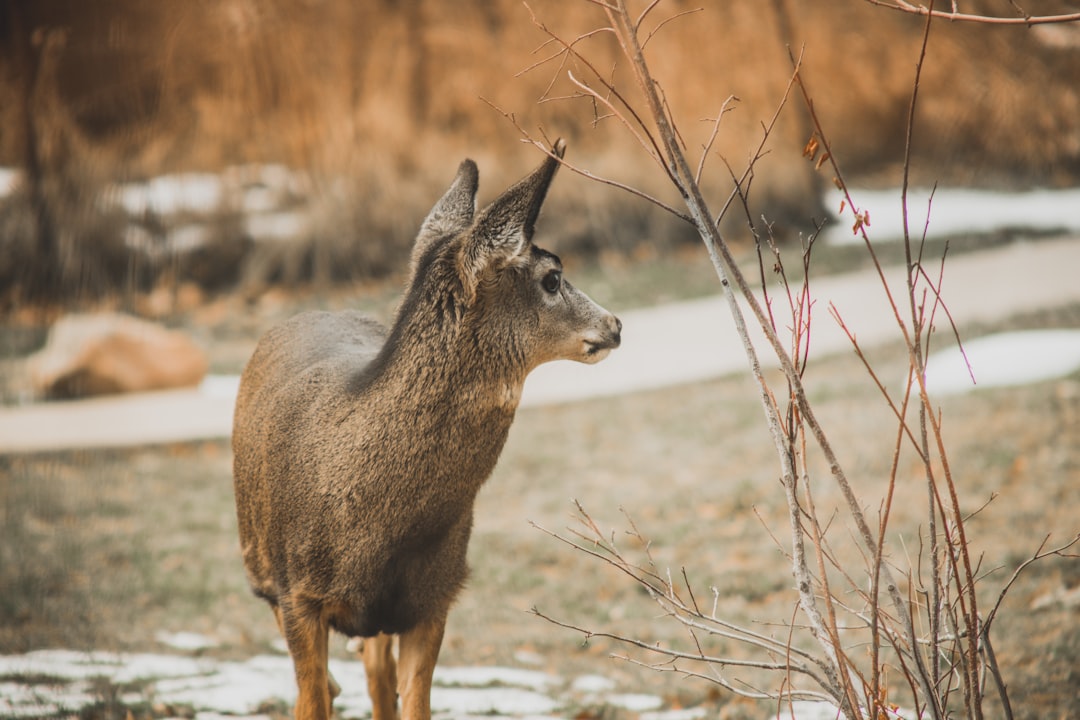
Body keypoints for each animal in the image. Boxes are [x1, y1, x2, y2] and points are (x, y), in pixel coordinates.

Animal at [234, 138, 626, 716]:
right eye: (553, 278)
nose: (616, 324)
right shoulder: (298, 595)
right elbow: (312, 697)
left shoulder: (436, 596)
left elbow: (413, 700)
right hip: (261, 563)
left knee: (378, 676)